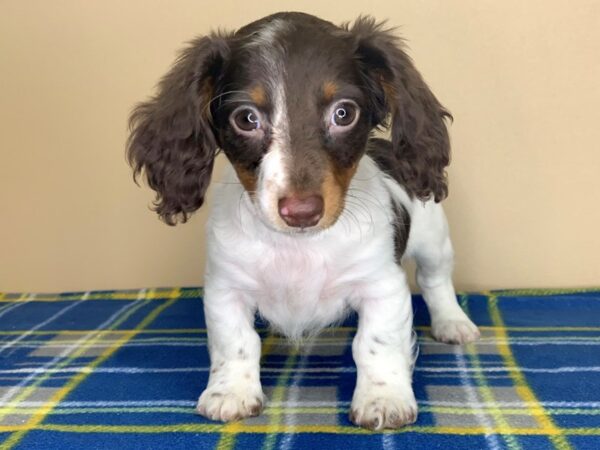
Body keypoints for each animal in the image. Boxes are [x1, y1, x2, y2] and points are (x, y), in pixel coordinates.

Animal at [125, 12, 478, 430]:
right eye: (246, 118)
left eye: (344, 113)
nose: (302, 211)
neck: (298, 246)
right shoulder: (225, 288)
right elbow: (236, 342)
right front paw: (231, 392)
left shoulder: (382, 286)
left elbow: (376, 343)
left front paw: (383, 397)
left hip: (434, 241)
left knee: (436, 281)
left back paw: (452, 322)